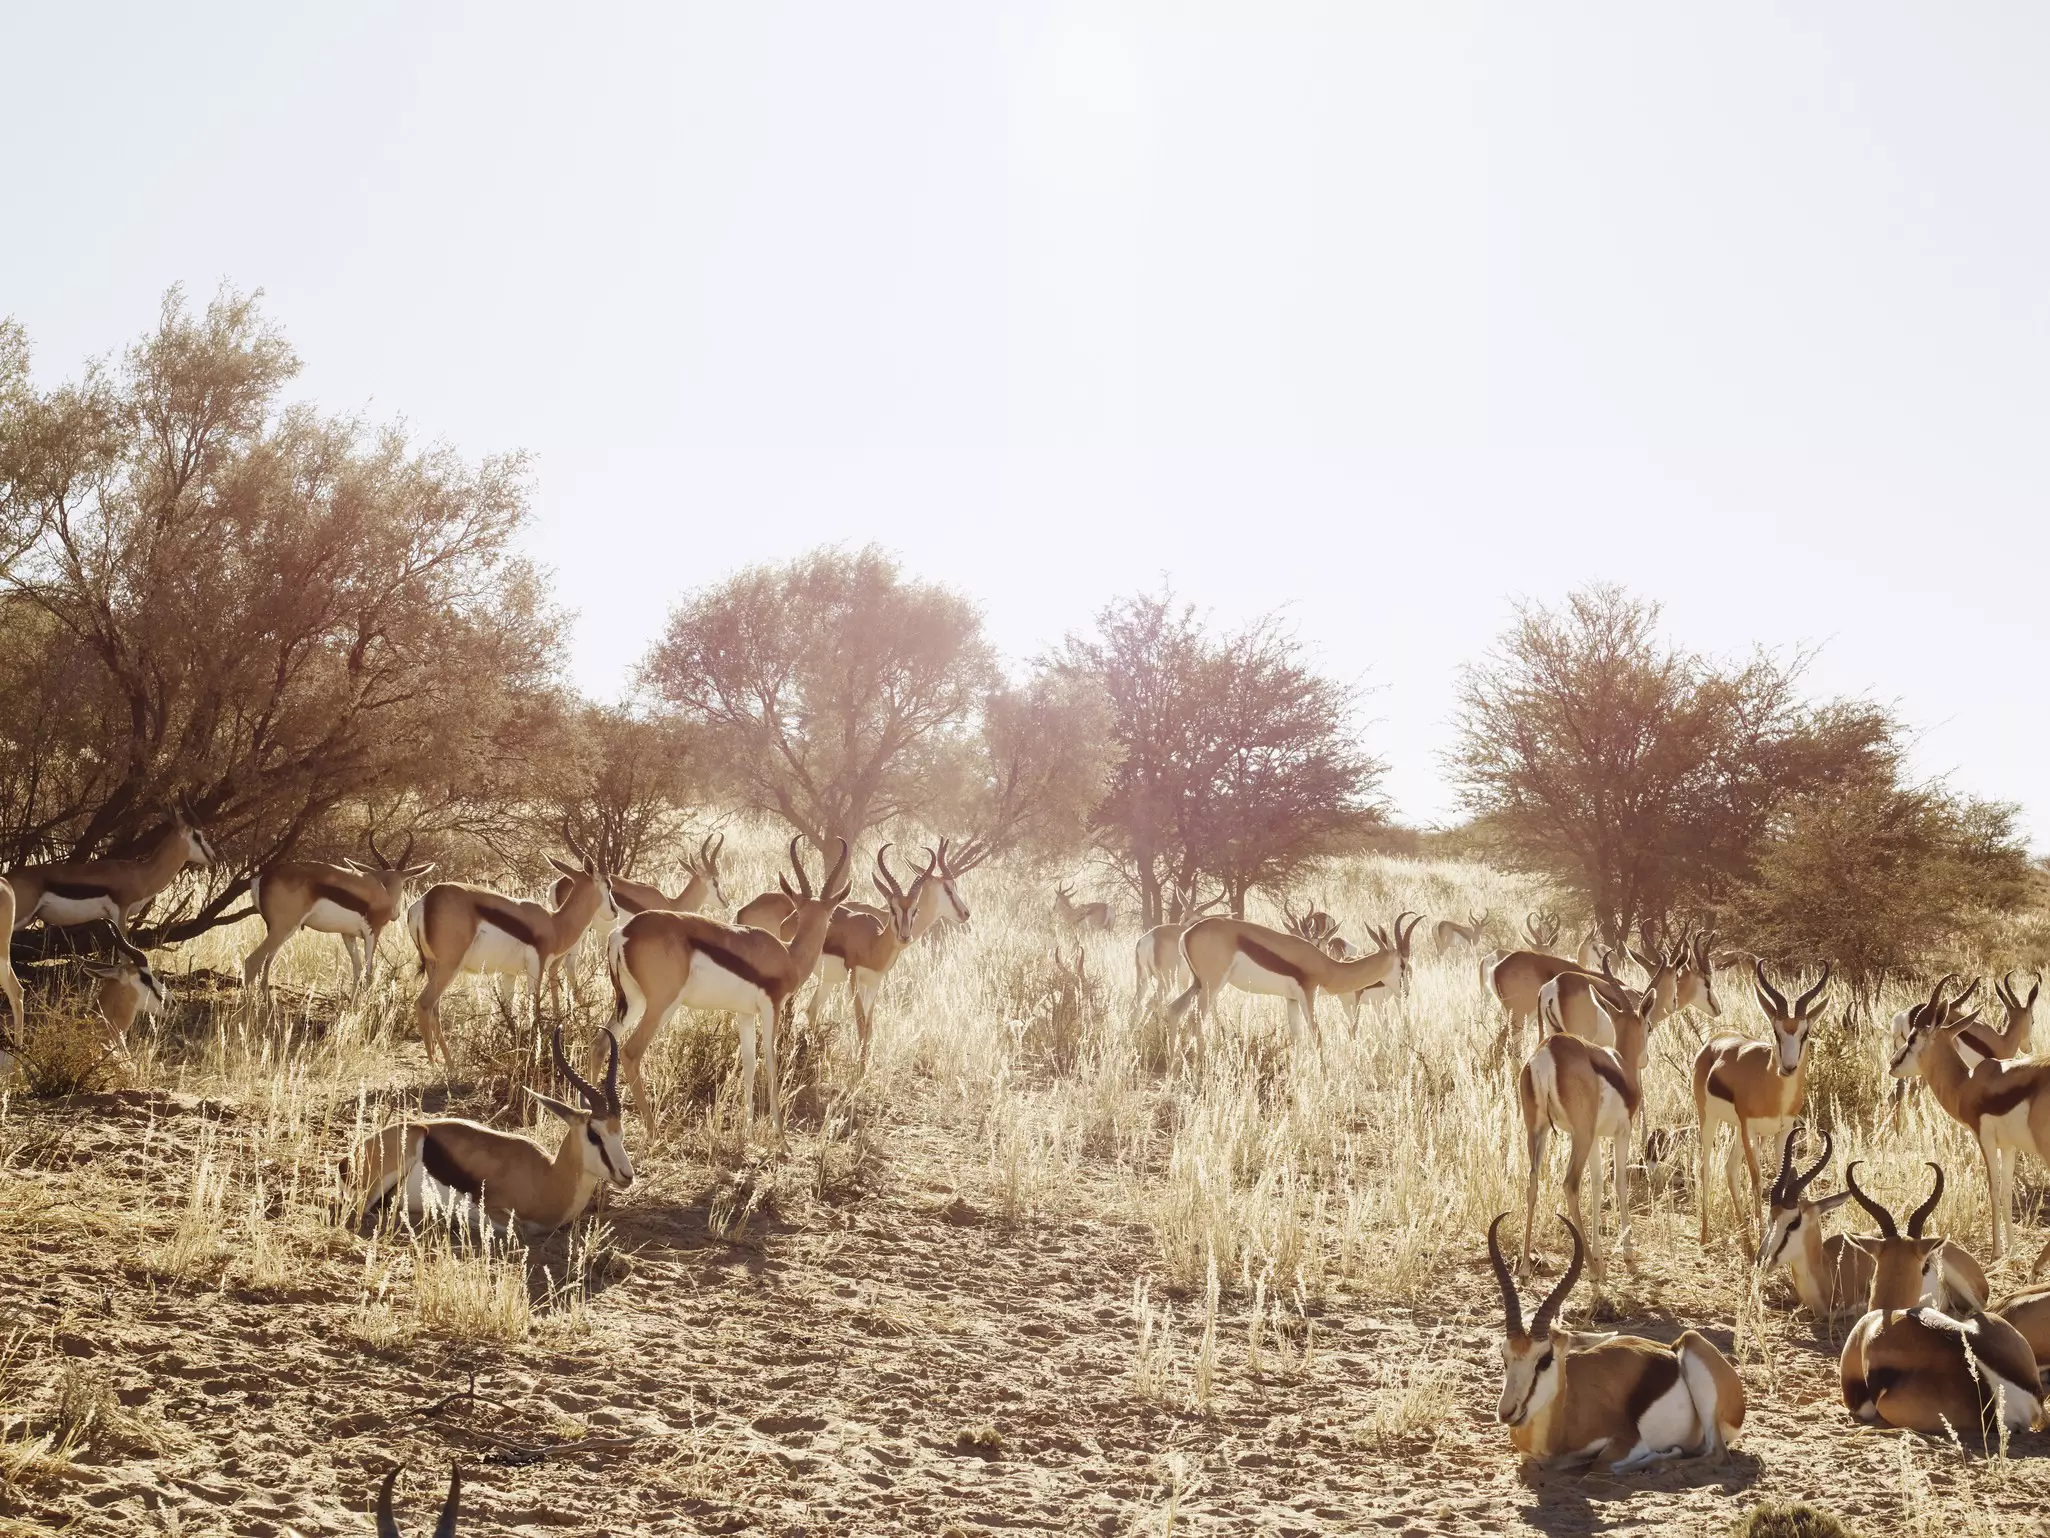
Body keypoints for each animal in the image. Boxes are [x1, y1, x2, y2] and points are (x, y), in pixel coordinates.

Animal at [243, 833, 435, 994]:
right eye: (404, 884)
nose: (396, 914)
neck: (382, 891)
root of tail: (263, 877)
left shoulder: (347, 935)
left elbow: (357, 968)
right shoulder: (373, 932)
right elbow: (368, 972)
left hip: (280, 931)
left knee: (265, 967)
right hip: (283, 928)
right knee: (252, 961)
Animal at [346, 1026, 632, 1239]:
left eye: (620, 1133)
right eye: (594, 1134)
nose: (626, 1175)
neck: (549, 1177)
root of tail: (351, 1157)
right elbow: (515, 1228)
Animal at [607, 837, 852, 1139]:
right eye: (831, 917)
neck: (788, 955)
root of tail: (623, 932)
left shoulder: (744, 1013)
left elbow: (749, 1063)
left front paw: (747, 1131)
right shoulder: (772, 1009)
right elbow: (771, 1063)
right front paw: (781, 1138)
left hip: (633, 1002)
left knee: (600, 1042)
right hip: (661, 1006)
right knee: (630, 1053)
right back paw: (652, 1131)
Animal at [1490, 1215, 1746, 1472]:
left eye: (1544, 1359)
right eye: (1504, 1356)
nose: (1507, 1412)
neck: (1556, 1433)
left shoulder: (1630, 1441)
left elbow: (1600, 1464)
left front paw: (1665, 1453)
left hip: (1694, 1352)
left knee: (1717, 1454)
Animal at [1692, 961, 1831, 1246]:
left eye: (1805, 1033)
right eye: (1776, 1031)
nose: (1788, 1067)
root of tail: (1714, 1041)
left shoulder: (1783, 1131)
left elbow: (1781, 1178)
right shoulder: (1751, 1129)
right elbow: (1756, 1181)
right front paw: (1761, 1241)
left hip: (1737, 1129)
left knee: (1730, 1168)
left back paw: (1745, 1241)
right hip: (1710, 1119)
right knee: (1706, 1167)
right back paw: (1704, 1236)